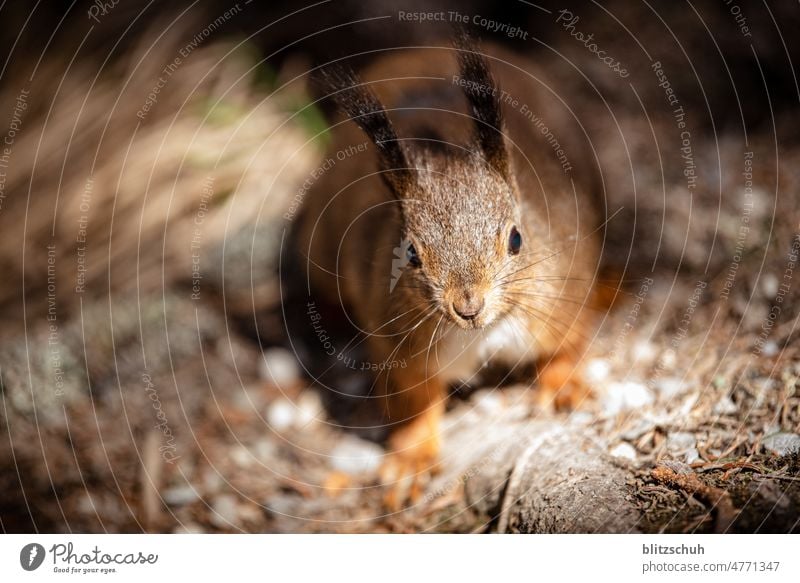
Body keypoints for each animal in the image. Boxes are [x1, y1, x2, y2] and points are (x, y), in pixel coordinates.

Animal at [292, 30, 600, 512]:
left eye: (517, 239)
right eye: (411, 253)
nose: (468, 306)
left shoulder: (563, 289)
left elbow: (564, 345)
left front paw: (564, 385)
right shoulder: (398, 343)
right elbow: (415, 402)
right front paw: (411, 461)